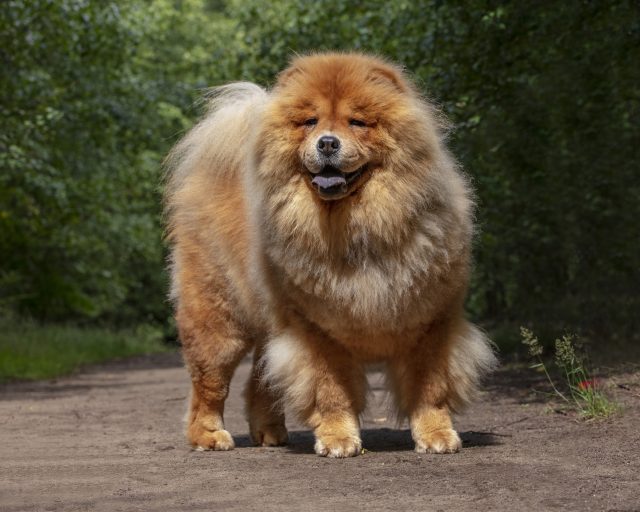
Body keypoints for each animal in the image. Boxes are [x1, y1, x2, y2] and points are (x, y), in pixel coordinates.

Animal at [165, 52, 496, 458]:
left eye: (357, 122)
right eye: (310, 122)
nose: (326, 142)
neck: (358, 225)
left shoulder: (432, 320)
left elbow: (428, 385)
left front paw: (436, 435)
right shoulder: (316, 330)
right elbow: (331, 389)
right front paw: (339, 439)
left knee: (261, 378)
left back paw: (270, 432)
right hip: (219, 320)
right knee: (210, 383)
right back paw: (209, 437)